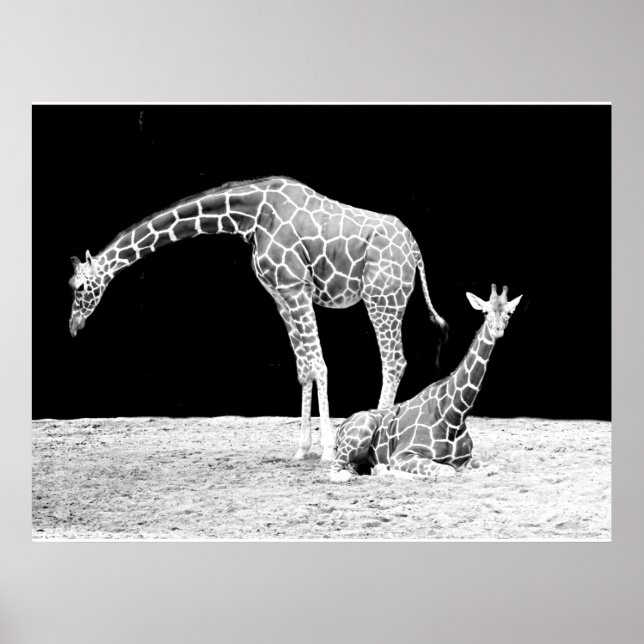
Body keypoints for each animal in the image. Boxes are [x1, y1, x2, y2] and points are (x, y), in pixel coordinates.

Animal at [68, 176, 448, 462]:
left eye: (80, 287)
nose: (73, 326)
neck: (250, 216)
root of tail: (415, 250)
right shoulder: (281, 296)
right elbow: (304, 368)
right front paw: (302, 448)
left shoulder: (296, 287)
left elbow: (320, 364)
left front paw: (326, 450)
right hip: (384, 298)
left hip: (382, 297)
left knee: (394, 360)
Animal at [329, 284, 522, 481]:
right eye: (485, 312)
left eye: (509, 312)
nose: (497, 330)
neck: (454, 414)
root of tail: (340, 429)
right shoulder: (402, 455)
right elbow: (447, 470)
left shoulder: (464, 459)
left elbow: (492, 468)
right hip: (360, 435)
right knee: (336, 472)